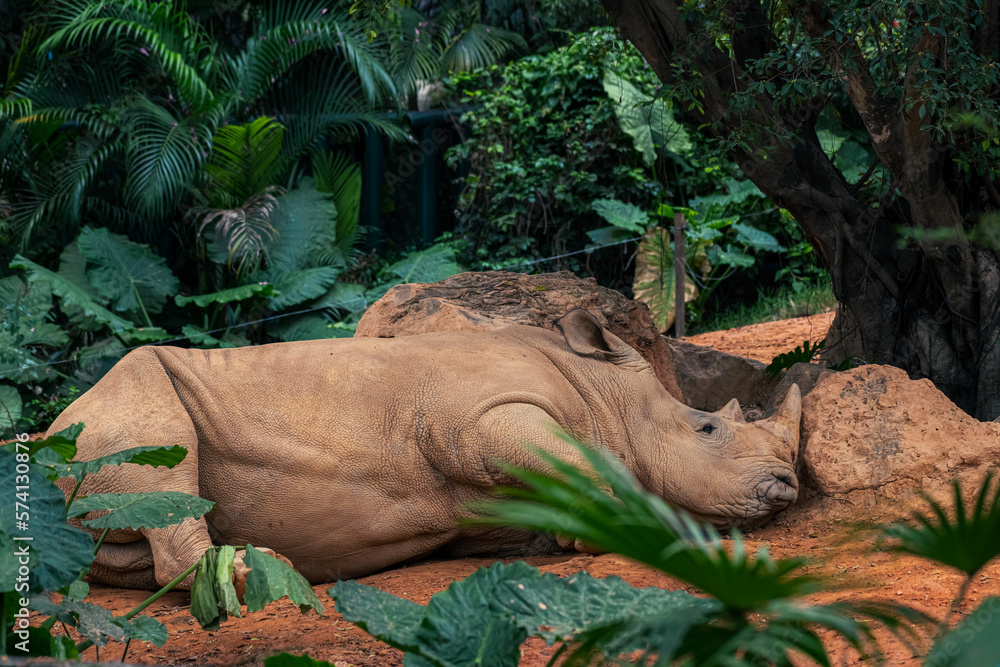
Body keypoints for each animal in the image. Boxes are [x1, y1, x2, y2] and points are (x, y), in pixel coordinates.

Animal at [49, 309, 801, 589]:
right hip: (115, 409)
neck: (602, 390)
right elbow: (580, 465)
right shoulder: (482, 417)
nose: (787, 485)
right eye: (708, 429)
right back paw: (265, 573)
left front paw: (576, 536)